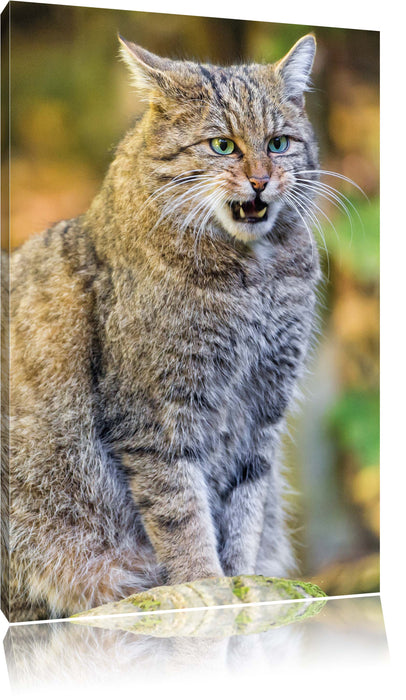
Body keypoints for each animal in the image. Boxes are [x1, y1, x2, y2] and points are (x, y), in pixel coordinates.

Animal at [2, 35, 320, 620]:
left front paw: (244, 586)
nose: (262, 180)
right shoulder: (157, 419)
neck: (254, 280)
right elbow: (183, 516)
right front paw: (206, 589)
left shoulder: (262, 413)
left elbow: (245, 509)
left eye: (279, 143)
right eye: (222, 145)